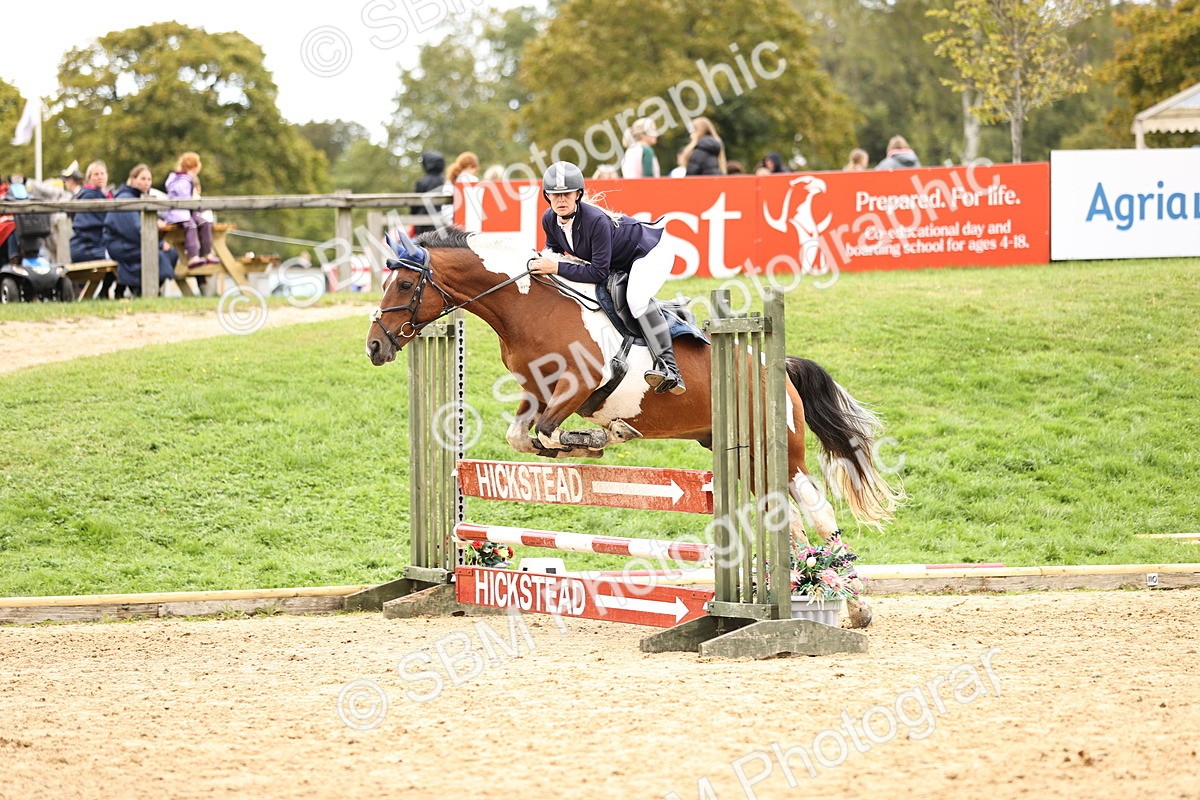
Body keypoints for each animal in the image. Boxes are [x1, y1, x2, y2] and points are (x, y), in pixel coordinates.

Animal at [366, 226, 903, 627]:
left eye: (405, 286)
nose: (374, 346)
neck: (529, 309)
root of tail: (775, 366)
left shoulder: (579, 386)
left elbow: (549, 431)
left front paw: (599, 438)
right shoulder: (536, 393)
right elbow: (523, 436)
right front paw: (586, 444)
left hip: (781, 451)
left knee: (818, 512)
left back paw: (850, 603)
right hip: (744, 454)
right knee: (787, 520)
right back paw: (806, 592)